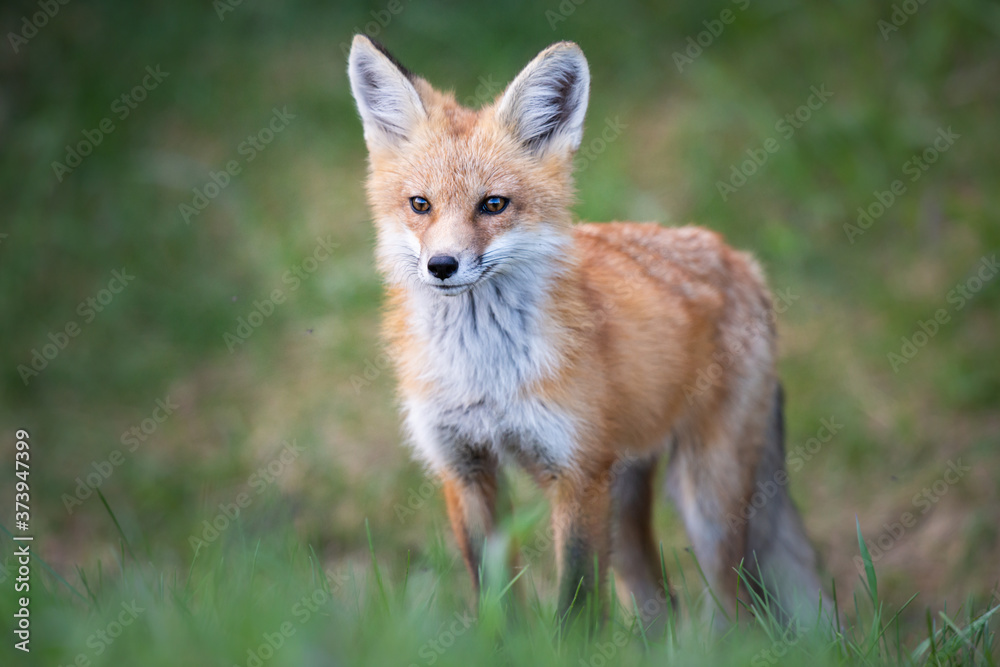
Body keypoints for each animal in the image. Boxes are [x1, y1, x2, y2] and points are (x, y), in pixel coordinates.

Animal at [347, 35, 830, 628]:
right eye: (421, 204)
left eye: (493, 204)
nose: (441, 266)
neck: (485, 375)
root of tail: (743, 261)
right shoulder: (464, 466)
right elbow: (495, 598)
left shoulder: (575, 474)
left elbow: (576, 604)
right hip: (622, 498)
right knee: (658, 604)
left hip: (703, 501)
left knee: (734, 610)